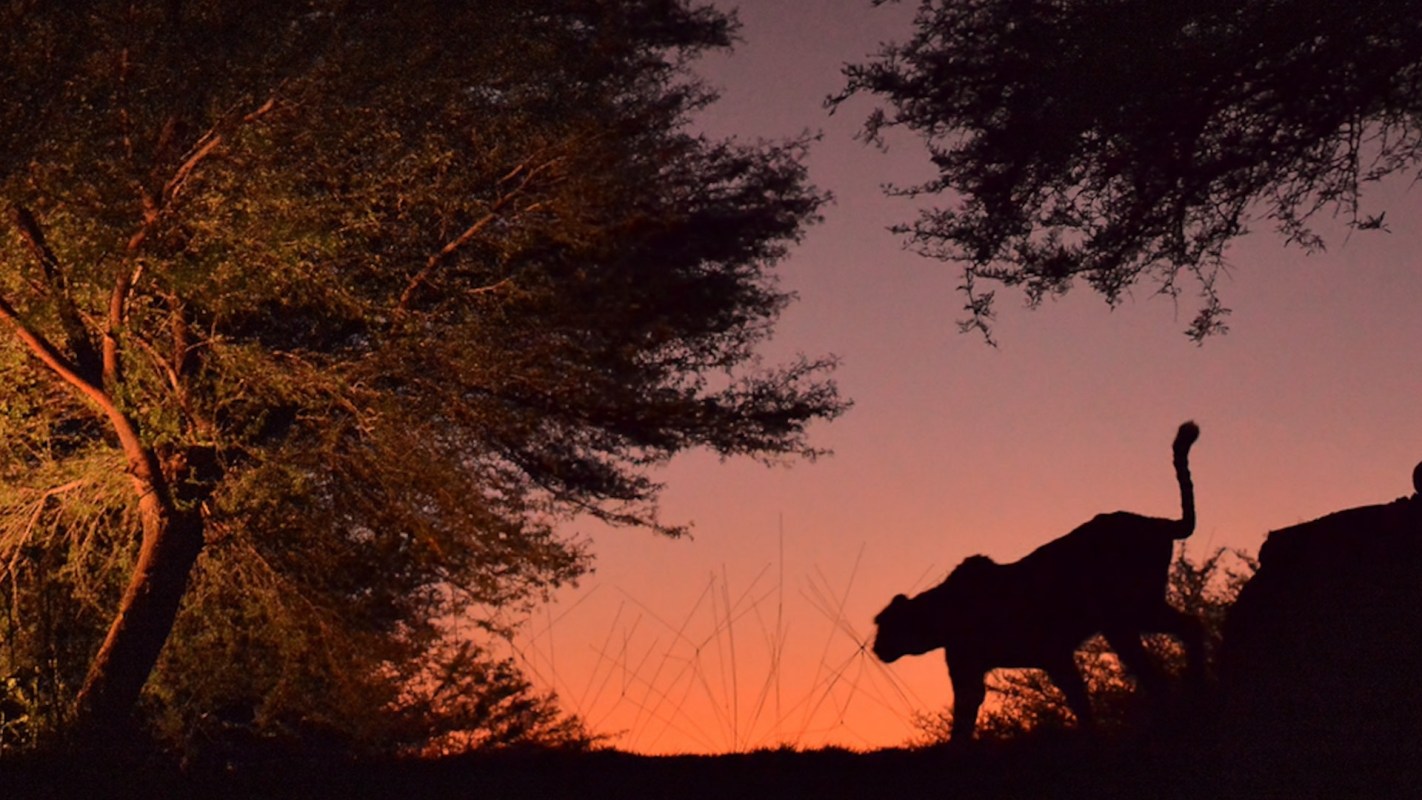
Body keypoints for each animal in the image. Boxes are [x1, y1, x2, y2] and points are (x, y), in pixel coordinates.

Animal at [875, 423, 1200, 744]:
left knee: (1170, 650)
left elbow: (1077, 700)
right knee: (1182, 638)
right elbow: (965, 722)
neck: (941, 614)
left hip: (1127, 614)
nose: (877, 647)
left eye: (883, 625)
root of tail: (1158, 523)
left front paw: (1091, 737)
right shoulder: (983, 668)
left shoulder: (1050, 653)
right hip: (1134, 614)